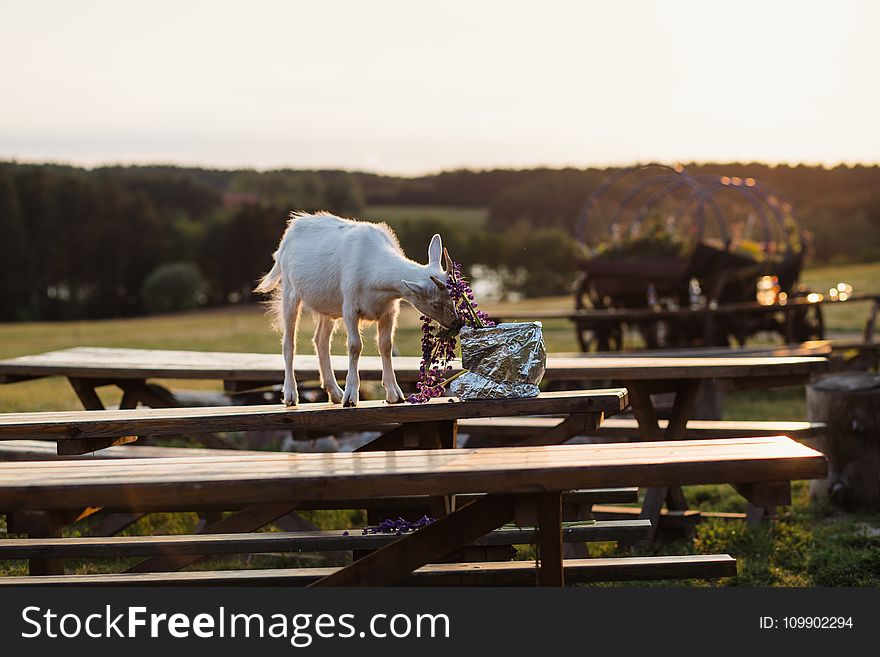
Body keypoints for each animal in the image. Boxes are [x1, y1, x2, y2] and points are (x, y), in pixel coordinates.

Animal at [254, 211, 458, 404]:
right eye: (435, 303)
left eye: (454, 298)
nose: (456, 322)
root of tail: (290, 232)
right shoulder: (350, 308)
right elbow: (354, 346)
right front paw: (351, 396)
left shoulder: (389, 311)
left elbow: (386, 345)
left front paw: (394, 394)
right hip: (290, 291)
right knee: (289, 341)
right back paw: (291, 395)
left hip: (326, 305)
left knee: (321, 340)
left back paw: (335, 393)